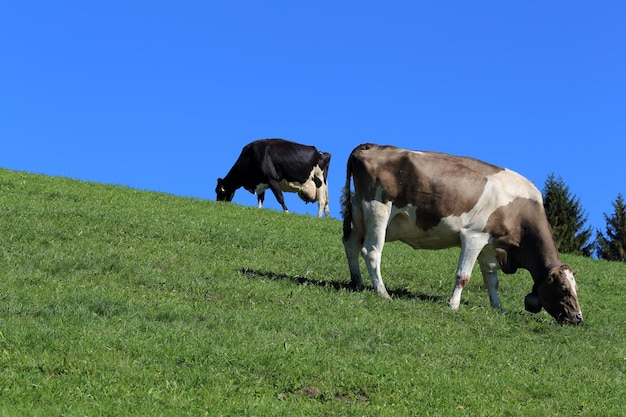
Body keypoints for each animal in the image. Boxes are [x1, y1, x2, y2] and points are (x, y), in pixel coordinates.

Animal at [342, 144, 580, 324]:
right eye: (563, 289)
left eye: (575, 287)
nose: (578, 318)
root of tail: (372, 145)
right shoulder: (474, 235)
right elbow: (463, 276)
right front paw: (453, 305)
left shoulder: (490, 245)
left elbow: (492, 280)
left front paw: (498, 307)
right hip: (378, 209)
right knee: (371, 251)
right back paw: (383, 293)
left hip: (359, 213)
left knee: (351, 244)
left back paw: (358, 283)